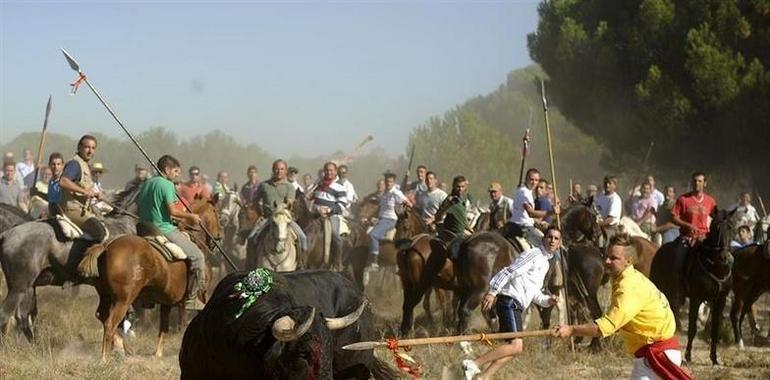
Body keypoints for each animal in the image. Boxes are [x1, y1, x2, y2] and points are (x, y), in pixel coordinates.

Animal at [80, 197, 220, 360]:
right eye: (216, 211)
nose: (218, 236)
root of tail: (107, 247)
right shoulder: (201, 295)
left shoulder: (167, 302)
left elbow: (164, 328)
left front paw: (158, 354)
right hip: (123, 300)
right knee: (110, 324)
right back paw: (104, 358)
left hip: (106, 295)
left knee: (101, 316)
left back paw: (121, 347)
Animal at [648, 209, 732, 364]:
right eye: (716, 227)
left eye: (730, 227)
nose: (723, 256)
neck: (715, 267)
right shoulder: (696, 298)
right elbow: (692, 328)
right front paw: (687, 356)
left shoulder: (720, 301)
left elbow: (715, 330)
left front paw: (714, 358)